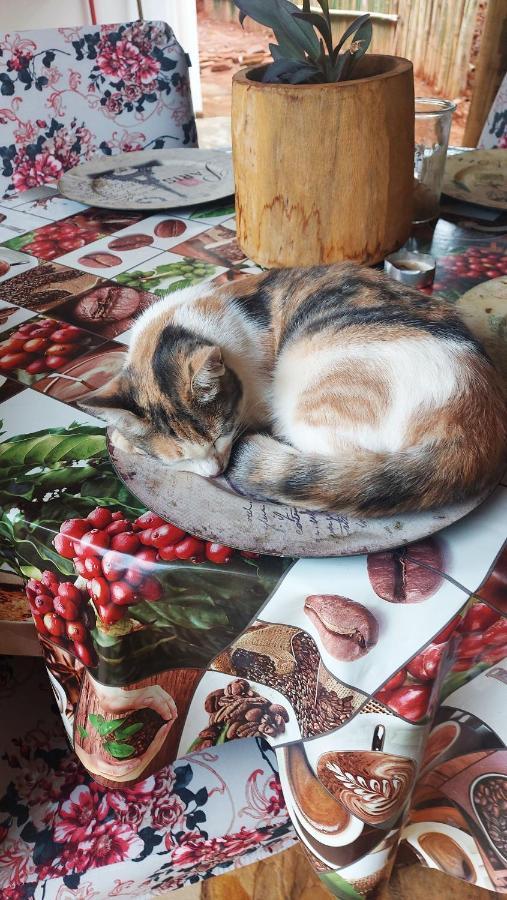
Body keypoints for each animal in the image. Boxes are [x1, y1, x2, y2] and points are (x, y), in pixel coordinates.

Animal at [81, 262, 506, 512]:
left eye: (221, 437)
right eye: (180, 458)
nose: (215, 472)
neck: (179, 325)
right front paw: (120, 438)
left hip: (306, 403)